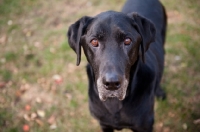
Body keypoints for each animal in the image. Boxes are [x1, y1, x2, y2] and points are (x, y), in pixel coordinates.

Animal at [66, 0, 166, 131]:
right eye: (94, 42)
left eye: (127, 41)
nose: (111, 83)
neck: (114, 103)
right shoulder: (105, 124)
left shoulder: (145, 126)